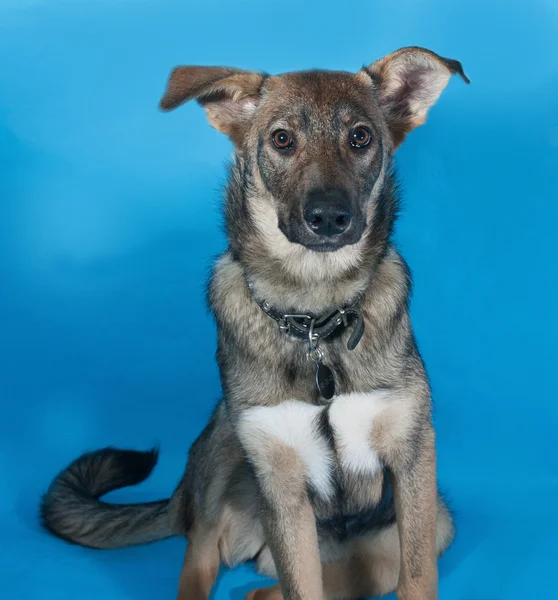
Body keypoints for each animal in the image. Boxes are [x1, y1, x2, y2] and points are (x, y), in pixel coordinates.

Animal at [40, 47, 468, 600]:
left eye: (360, 137)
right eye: (282, 139)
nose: (328, 217)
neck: (314, 316)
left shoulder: (413, 456)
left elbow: (415, 576)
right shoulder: (279, 478)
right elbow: (299, 585)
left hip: (430, 523)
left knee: (267, 587)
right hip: (227, 441)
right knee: (202, 550)